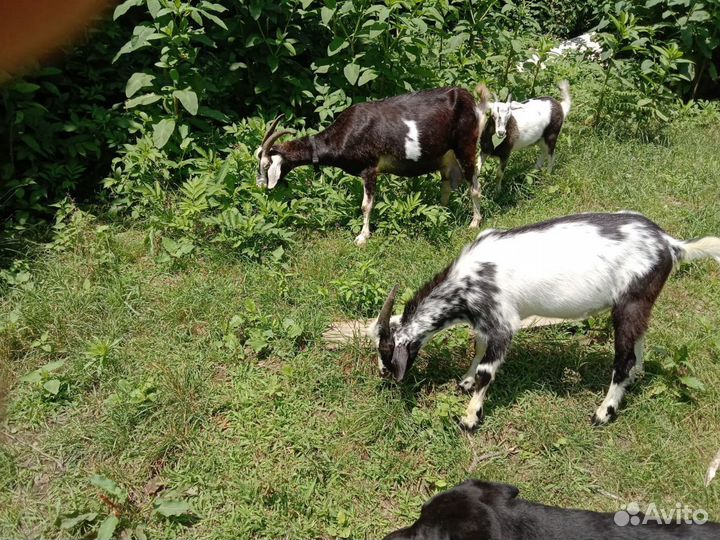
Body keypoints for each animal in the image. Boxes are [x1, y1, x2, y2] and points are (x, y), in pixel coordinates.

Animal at [255, 86, 491, 245]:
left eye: (266, 165)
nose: (259, 186)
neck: (346, 133)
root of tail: (470, 100)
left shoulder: (370, 169)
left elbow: (366, 205)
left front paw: (362, 237)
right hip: (446, 155)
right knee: (448, 183)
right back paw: (441, 211)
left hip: (465, 145)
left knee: (474, 184)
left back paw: (474, 222)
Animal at [370, 211, 720, 430]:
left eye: (387, 353)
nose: (385, 375)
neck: (466, 282)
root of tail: (670, 244)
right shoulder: (485, 322)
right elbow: (478, 348)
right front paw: (465, 381)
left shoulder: (503, 322)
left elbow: (487, 370)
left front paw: (470, 417)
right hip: (641, 302)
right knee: (640, 337)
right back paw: (636, 377)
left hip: (630, 300)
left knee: (624, 357)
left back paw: (603, 412)